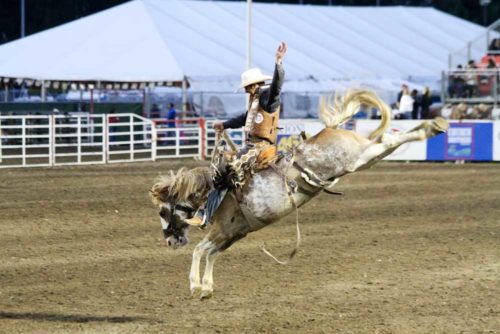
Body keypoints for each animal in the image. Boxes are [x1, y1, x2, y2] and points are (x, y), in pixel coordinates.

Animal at [149, 88, 450, 298]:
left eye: (163, 211)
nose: (170, 242)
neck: (217, 190)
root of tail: (331, 129)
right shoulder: (233, 233)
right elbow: (211, 254)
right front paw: (207, 288)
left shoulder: (222, 230)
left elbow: (199, 250)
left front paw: (194, 286)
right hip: (364, 157)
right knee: (388, 141)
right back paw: (431, 127)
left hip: (358, 157)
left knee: (388, 140)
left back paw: (433, 126)